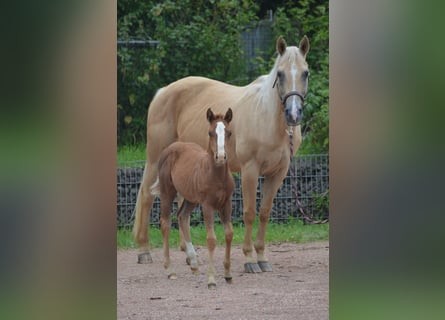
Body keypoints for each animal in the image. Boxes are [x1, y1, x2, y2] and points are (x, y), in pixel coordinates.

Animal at [150, 109, 234, 288]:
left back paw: (194, 263)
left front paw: (228, 274)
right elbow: (211, 239)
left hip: (191, 199)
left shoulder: (227, 203)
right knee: (165, 223)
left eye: (229, 132)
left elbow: (229, 234)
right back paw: (170, 270)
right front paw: (211, 280)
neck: (216, 175)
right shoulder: (208, 205)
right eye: (210, 132)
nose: (221, 157)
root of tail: (170, 148)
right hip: (168, 192)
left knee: (182, 216)